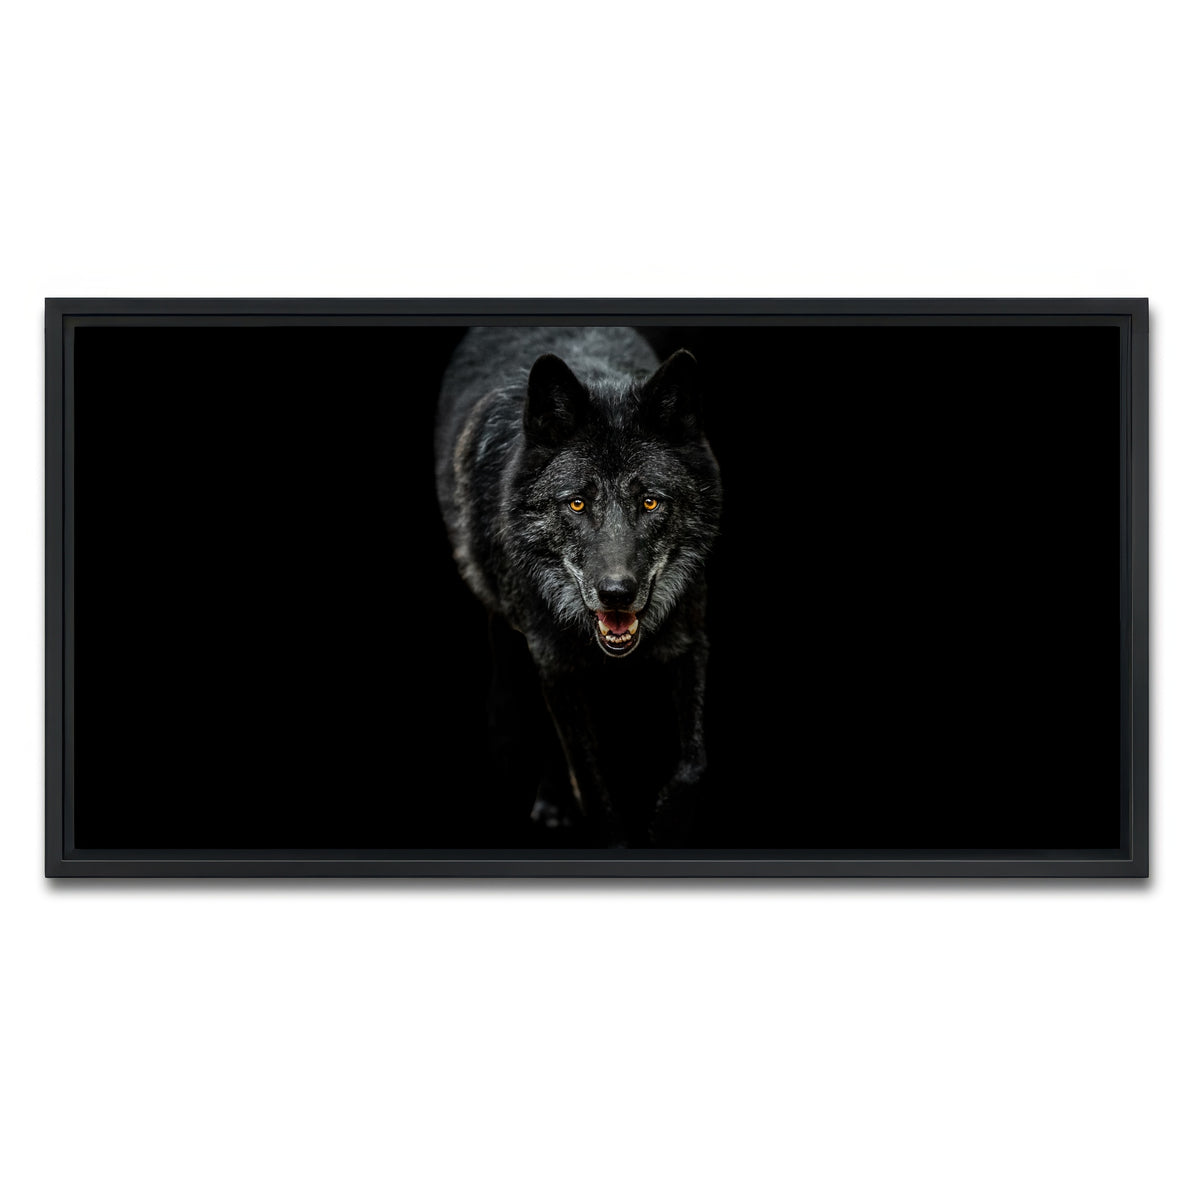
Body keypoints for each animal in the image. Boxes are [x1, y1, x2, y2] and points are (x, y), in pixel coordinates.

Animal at [435, 326, 722, 846]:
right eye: (577, 504)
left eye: (650, 502)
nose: (616, 593)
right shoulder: (554, 664)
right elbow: (590, 782)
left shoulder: (691, 639)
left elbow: (694, 762)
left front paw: (668, 825)